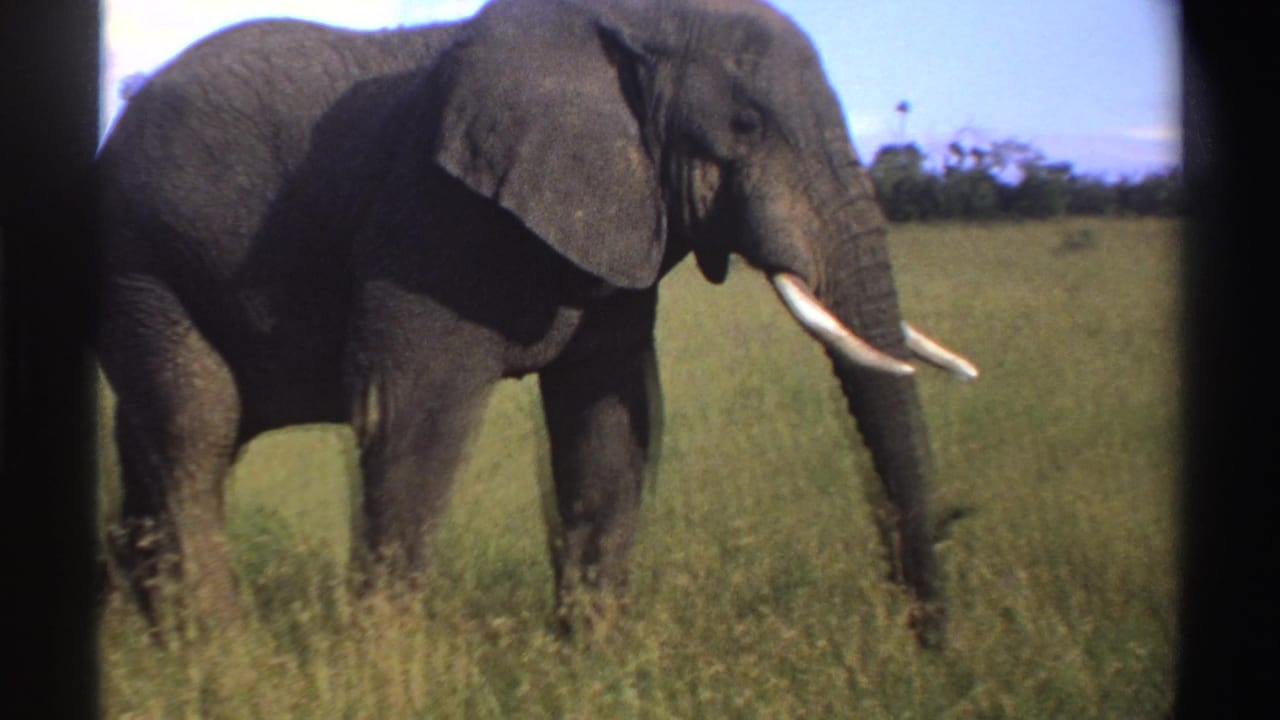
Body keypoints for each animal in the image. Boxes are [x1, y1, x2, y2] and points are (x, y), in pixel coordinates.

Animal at [95, 0, 978, 648]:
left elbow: (612, 418)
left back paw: (162, 650)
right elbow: (413, 413)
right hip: (138, 258)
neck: (626, 23)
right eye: (747, 127)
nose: (929, 649)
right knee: (197, 428)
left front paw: (590, 662)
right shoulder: (430, 219)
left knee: (164, 444)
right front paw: (383, 669)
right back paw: (225, 654)